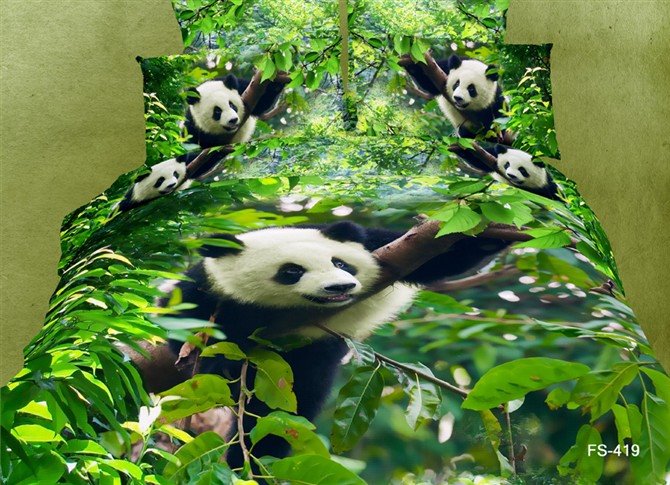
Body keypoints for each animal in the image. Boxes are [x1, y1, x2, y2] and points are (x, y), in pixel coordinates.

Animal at [156, 221, 509, 468]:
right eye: (291, 271)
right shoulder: (208, 284)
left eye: (340, 263)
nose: (340, 287)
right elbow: (182, 318)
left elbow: (435, 257)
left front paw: (489, 235)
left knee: (286, 408)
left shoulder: (380, 247)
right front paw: (218, 363)